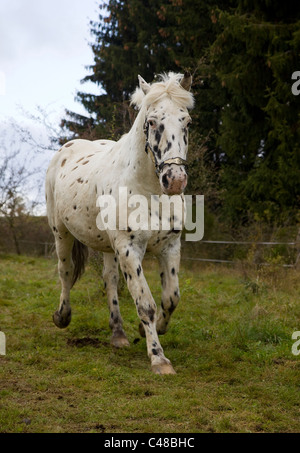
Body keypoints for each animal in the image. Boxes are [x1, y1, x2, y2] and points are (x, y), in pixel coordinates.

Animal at [45, 71, 193, 374]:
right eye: (152, 122)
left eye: (187, 122)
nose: (174, 180)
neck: (148, 190)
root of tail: (67, 148)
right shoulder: (129, 248)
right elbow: (146, 303)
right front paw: (159, 358)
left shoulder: (169, 247)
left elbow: (171, 298)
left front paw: (144, 330)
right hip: (61, 233)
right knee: (66, 272)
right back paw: (62, 316)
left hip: (107, 247)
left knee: (110, 280)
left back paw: (118, 334)